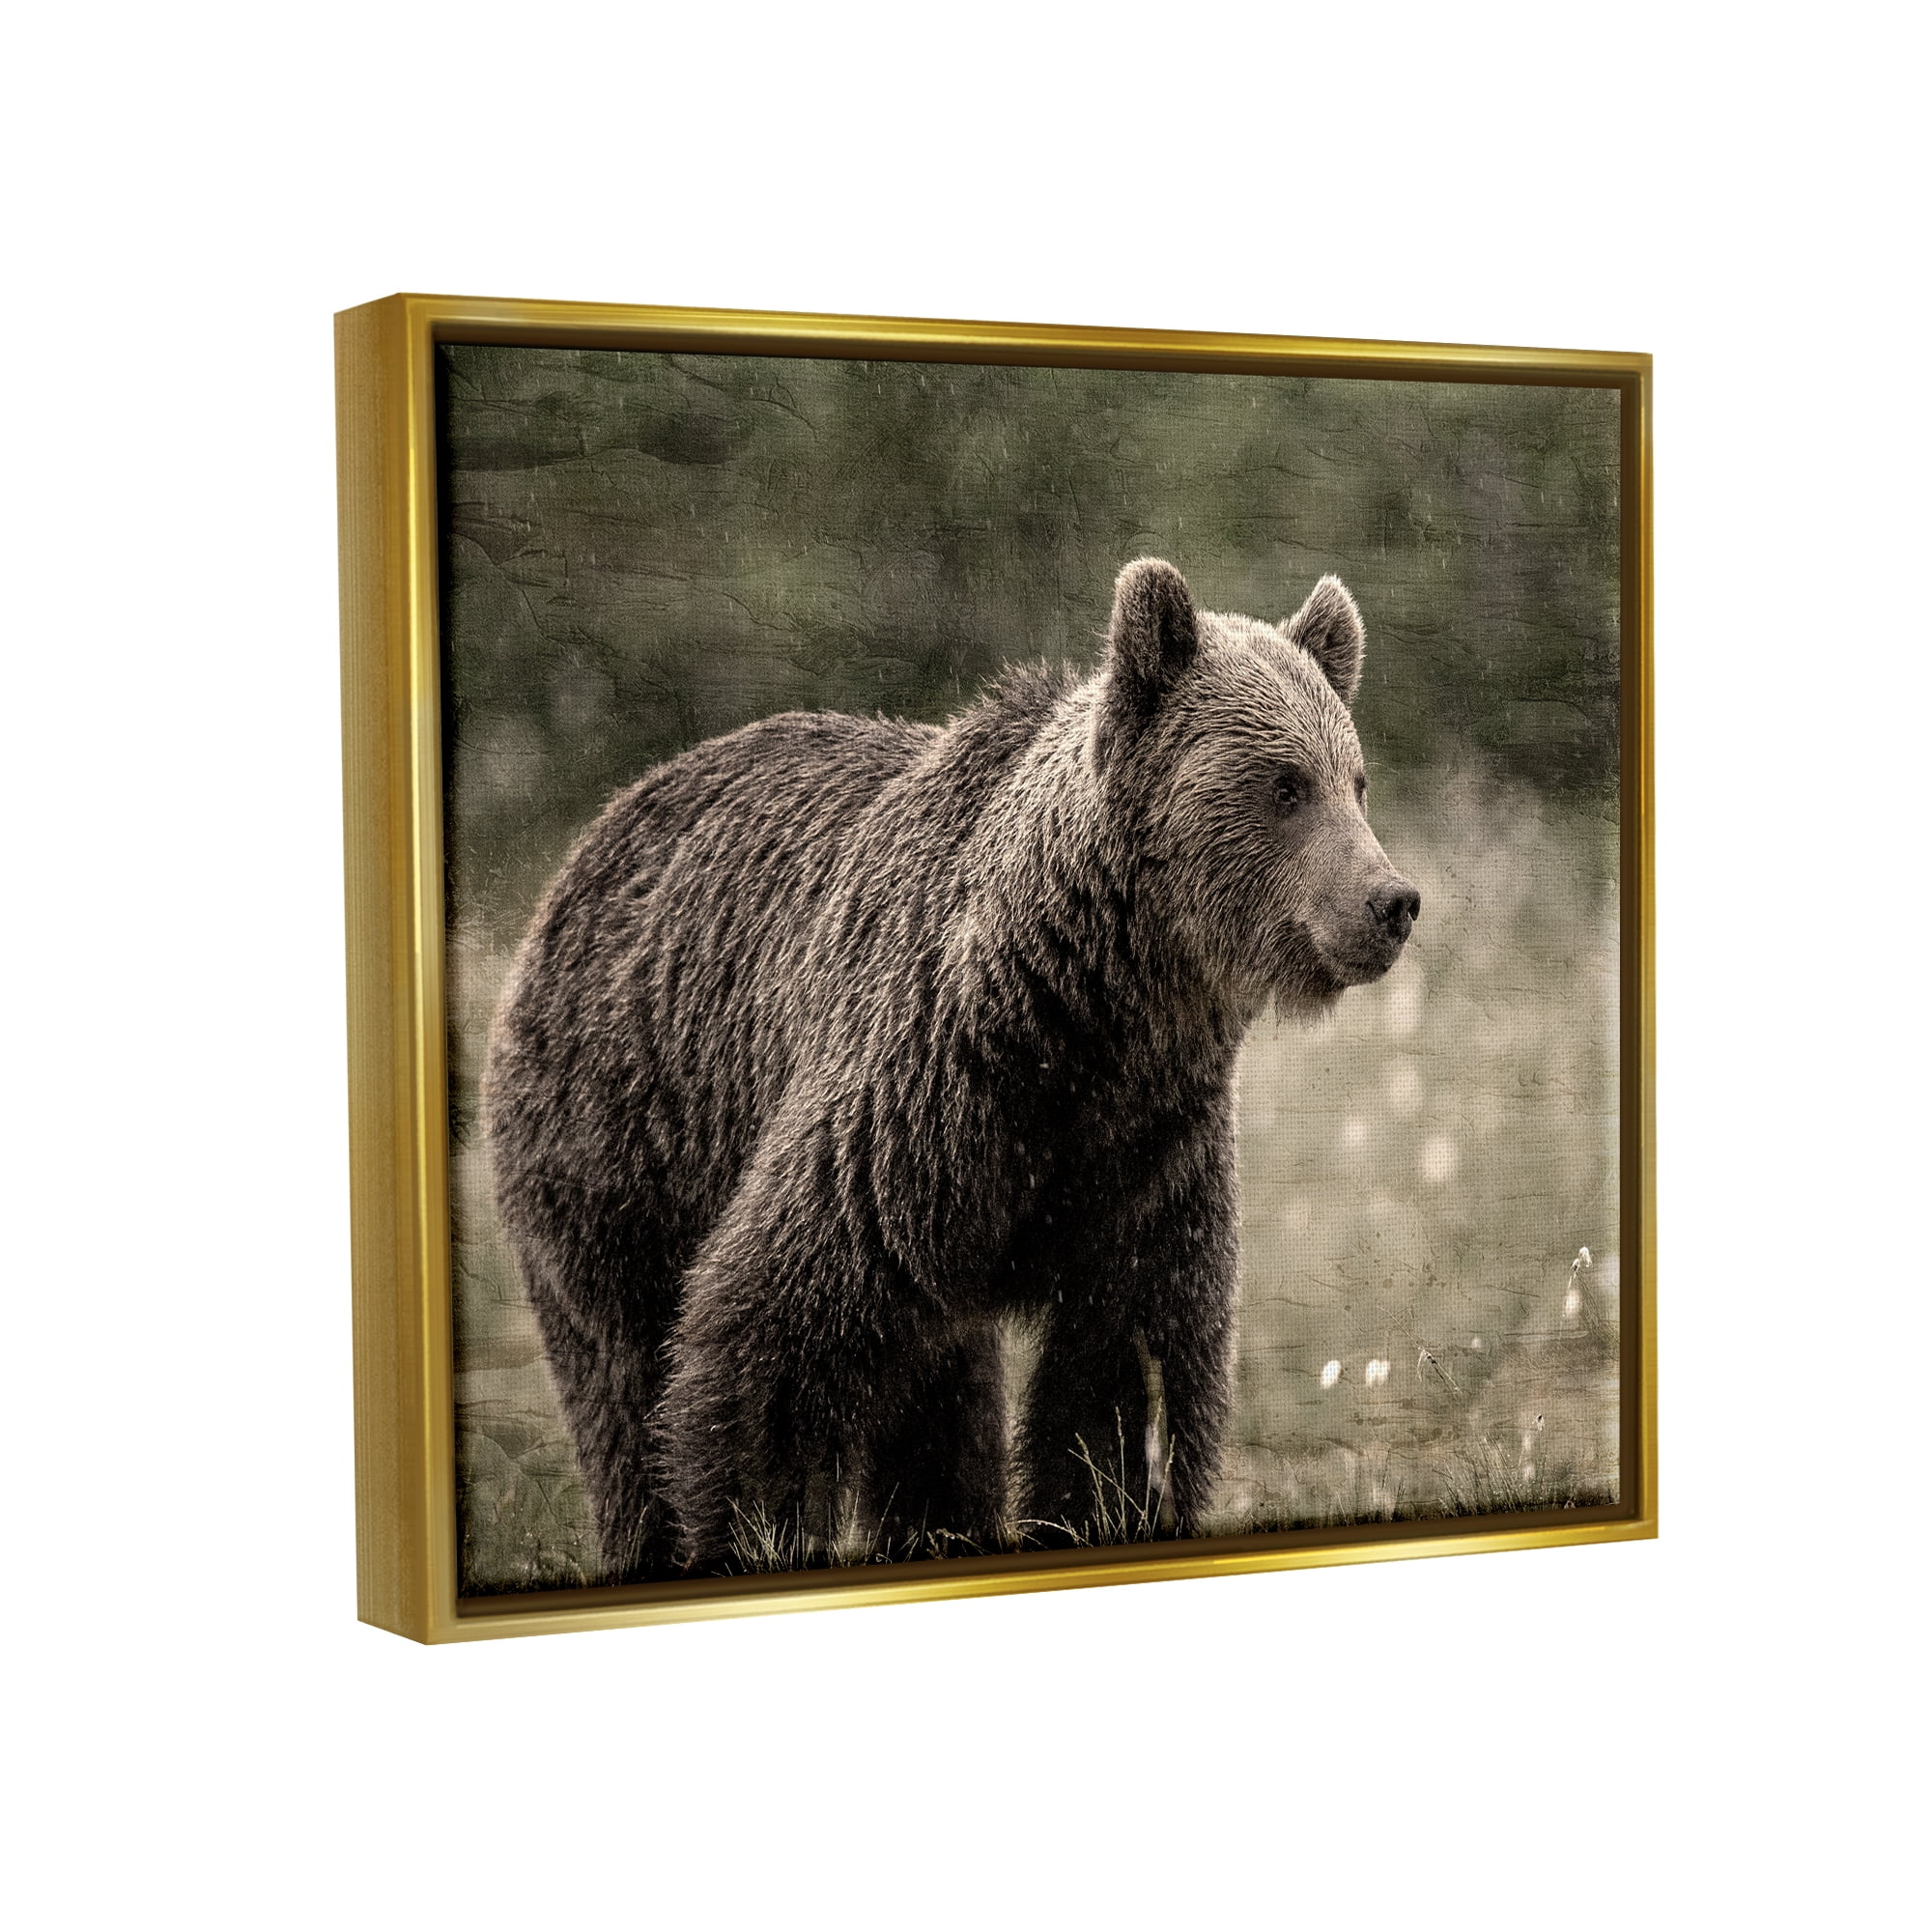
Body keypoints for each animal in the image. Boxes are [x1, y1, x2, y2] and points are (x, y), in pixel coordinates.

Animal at [483, 558, 1419, 1579]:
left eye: (1356, 781)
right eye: (1284, 785)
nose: (1391, 901)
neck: (1092, 1013)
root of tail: (591, 841)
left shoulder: (1148, 1151)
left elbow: (1127, 1375)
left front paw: (1103, 1507)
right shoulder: (920, 1101)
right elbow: (768, 1340)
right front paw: (758, 1531)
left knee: (936, 1397)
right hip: (623, 1139)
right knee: (625, 1374)